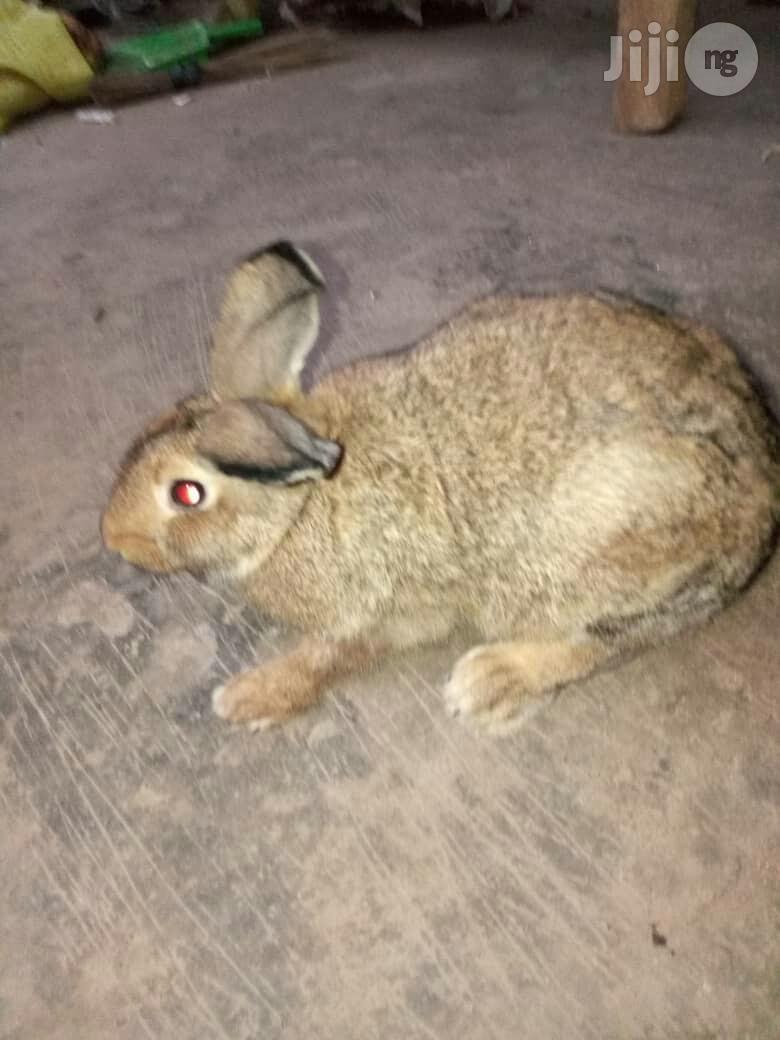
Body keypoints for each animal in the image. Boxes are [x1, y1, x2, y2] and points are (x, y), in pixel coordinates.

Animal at [101, 241, 779, 731]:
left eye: (185, 495)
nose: (114, 539)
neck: (300, 507)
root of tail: (764, 504)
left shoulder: (386, 611)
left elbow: (329, 658)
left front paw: (247, 698)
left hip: (598, 555)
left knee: (614, 641)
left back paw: (489, 682)